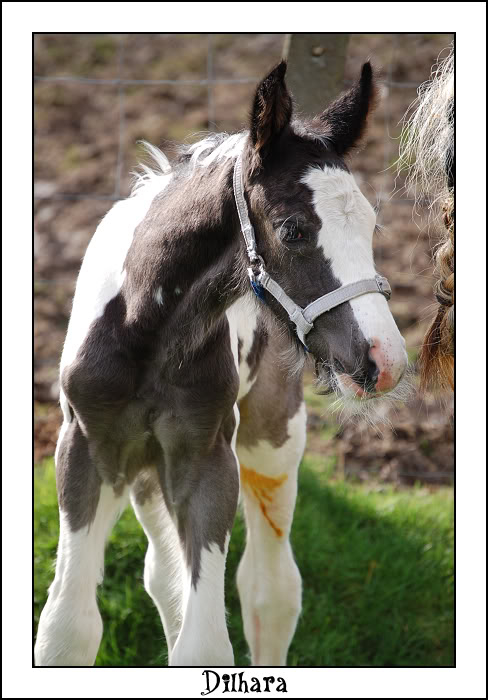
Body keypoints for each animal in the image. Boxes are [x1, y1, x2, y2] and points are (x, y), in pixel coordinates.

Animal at [35, 61, 408, 668]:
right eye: (293, 229)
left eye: (372, 226)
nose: (385, 360)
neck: (146, 333)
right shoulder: (85, 446)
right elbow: (67, 629)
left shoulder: (208, 457)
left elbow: (205, 641)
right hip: (146, 466)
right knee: (164, 575)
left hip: (271, 438)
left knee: (270, 588)